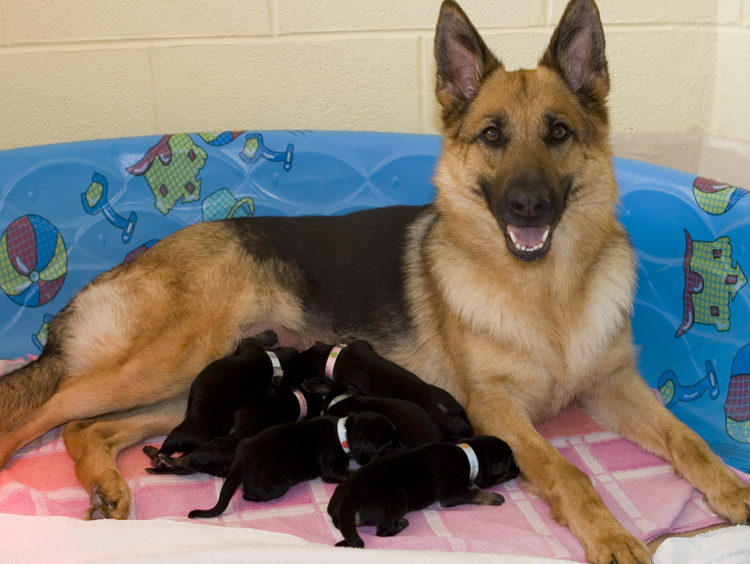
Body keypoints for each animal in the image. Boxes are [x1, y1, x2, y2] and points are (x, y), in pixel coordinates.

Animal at [187, 412, 401, 519]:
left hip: (243, 444)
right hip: (277, 485)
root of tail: (240, 464)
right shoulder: (330, 469)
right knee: (248, 494)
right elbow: (345, 472)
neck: (345, 433)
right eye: (389, 445)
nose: (404, 448)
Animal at [300, 340, 473, 441]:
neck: (335, 356)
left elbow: (330, 387)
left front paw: (312, 385)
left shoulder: (347, 384)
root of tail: (438, 407)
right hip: (453, 404)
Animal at [327, 435, 519, 548]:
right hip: (397, 497)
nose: (519, 470)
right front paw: (494, 497)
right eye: (511, 462)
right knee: (382, 531)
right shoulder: (451, 494)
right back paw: (402, 523)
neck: (469, 456)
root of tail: (348, 499)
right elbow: (475, 492)